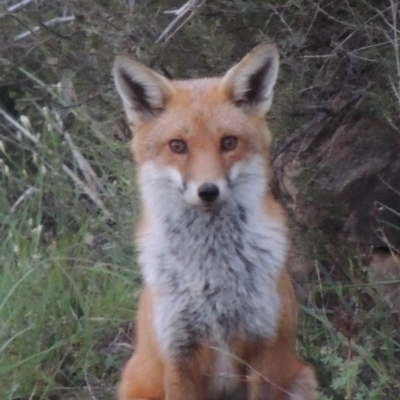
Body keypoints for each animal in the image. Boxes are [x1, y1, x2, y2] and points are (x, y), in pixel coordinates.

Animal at [112, 43, 318, 400]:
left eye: (228, 142)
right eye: (178, 146)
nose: (208, 191)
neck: (212, 277)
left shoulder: (265, 348)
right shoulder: (178, 355)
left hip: (302, 380)